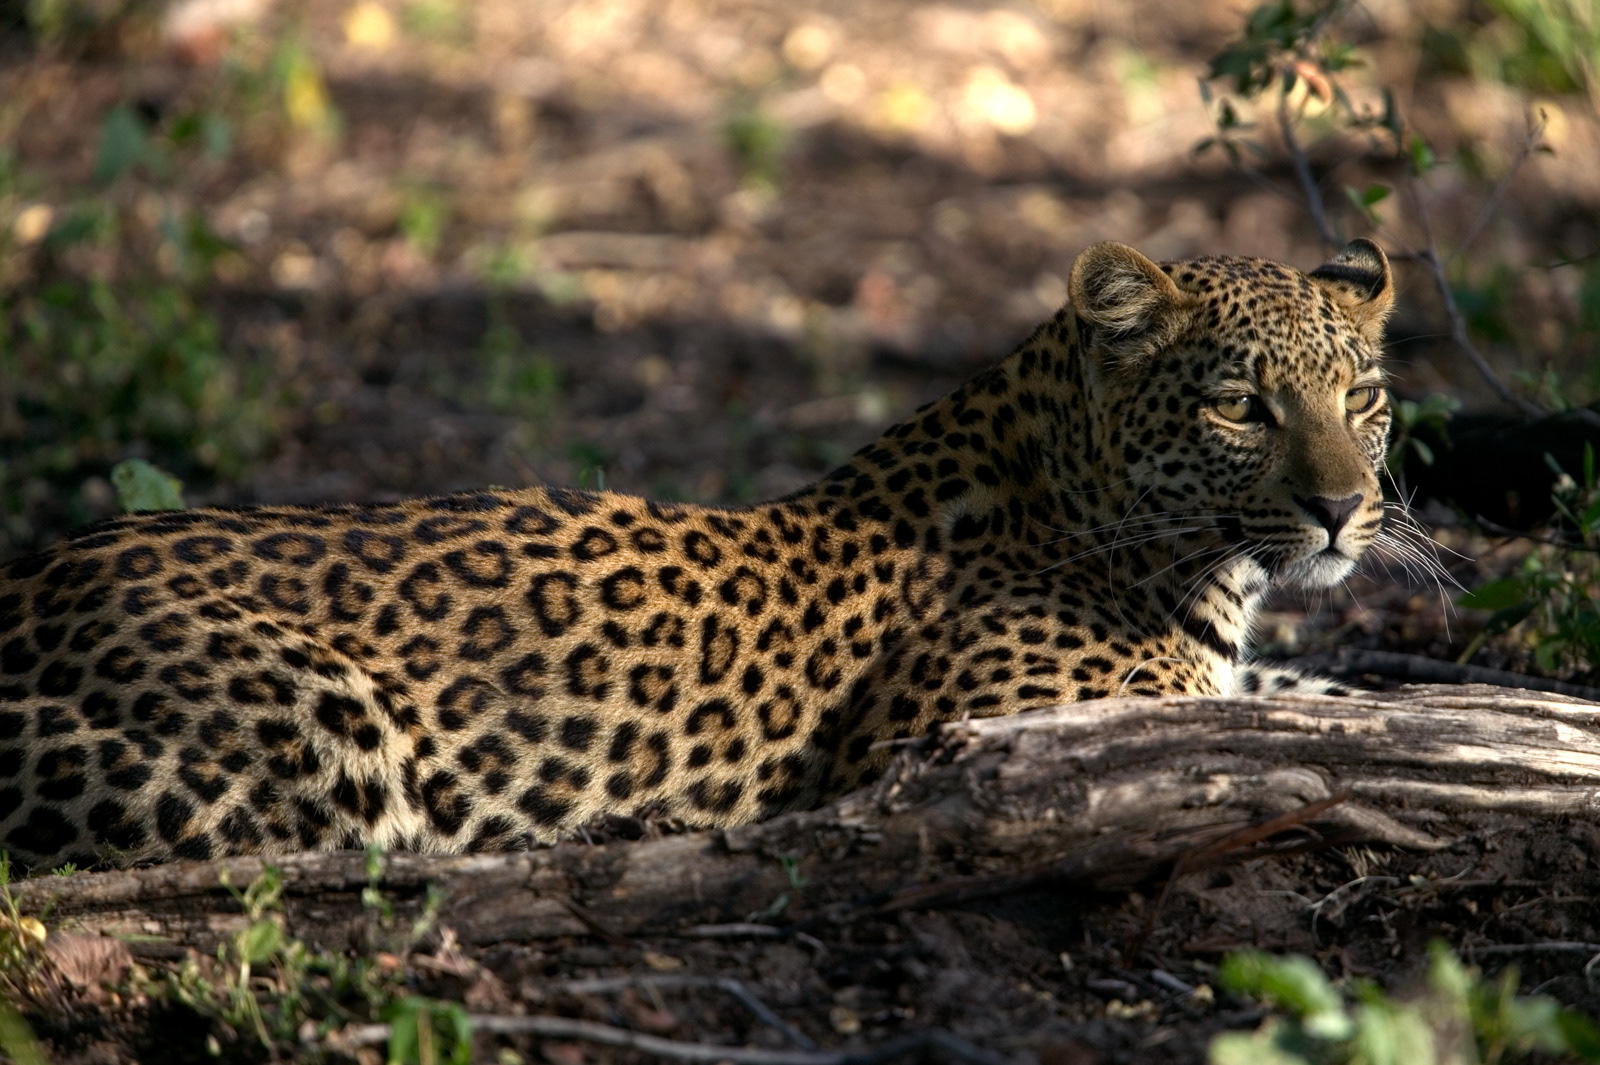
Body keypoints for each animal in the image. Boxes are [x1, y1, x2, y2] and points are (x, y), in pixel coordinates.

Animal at [0, 238, 1396, 873]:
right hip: (315, 729)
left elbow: (1324, 695)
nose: (1343, 509)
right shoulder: (968, 735)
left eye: (1363, 395)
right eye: (1239, 406)